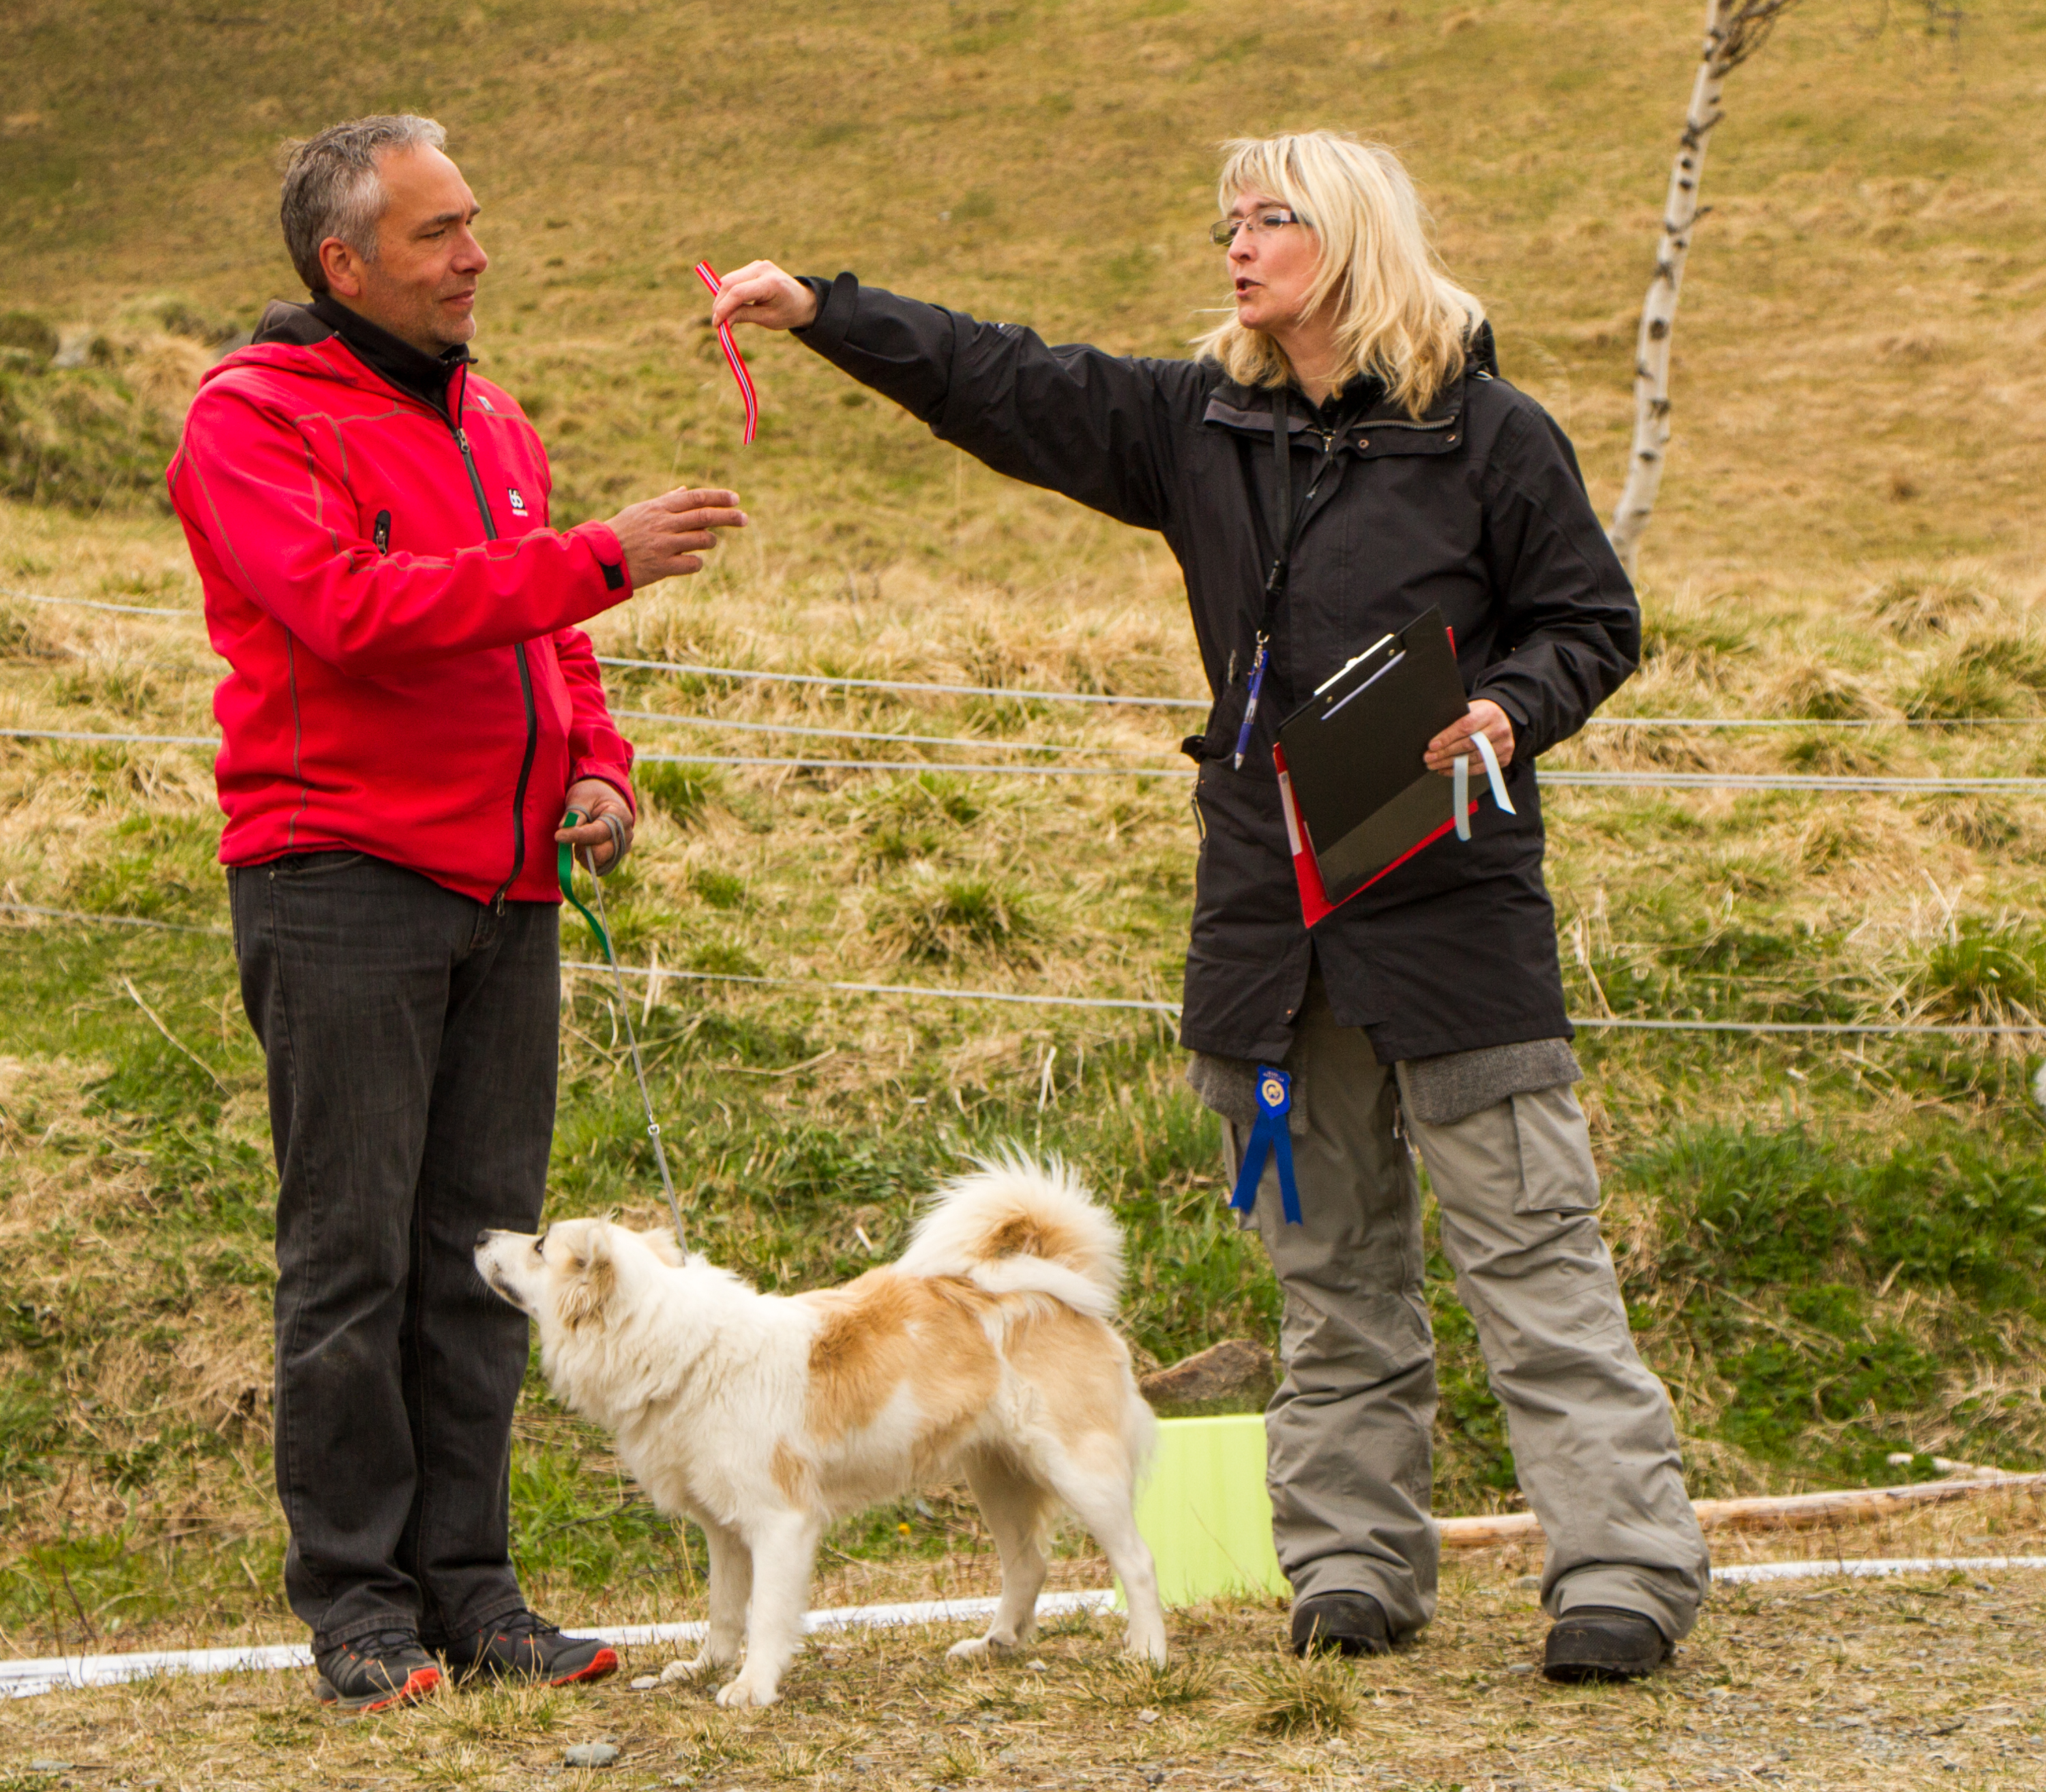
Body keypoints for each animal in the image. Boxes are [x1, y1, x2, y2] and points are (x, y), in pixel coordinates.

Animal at [469, 1162, 1162, 1710]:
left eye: (540, 1244)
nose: (477, 1233)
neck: (687, 1354)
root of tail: (1047, 1285)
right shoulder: (724, 1530)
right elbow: (725, 1610)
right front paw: (705, 1667)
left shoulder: (781, 1525)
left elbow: (768, 1614)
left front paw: (752, 1687)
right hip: (996, 1477)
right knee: (1027, 1564)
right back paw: (994, 1644)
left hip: (1079, 1471)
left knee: (1137, 1561)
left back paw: (1148, 1653)